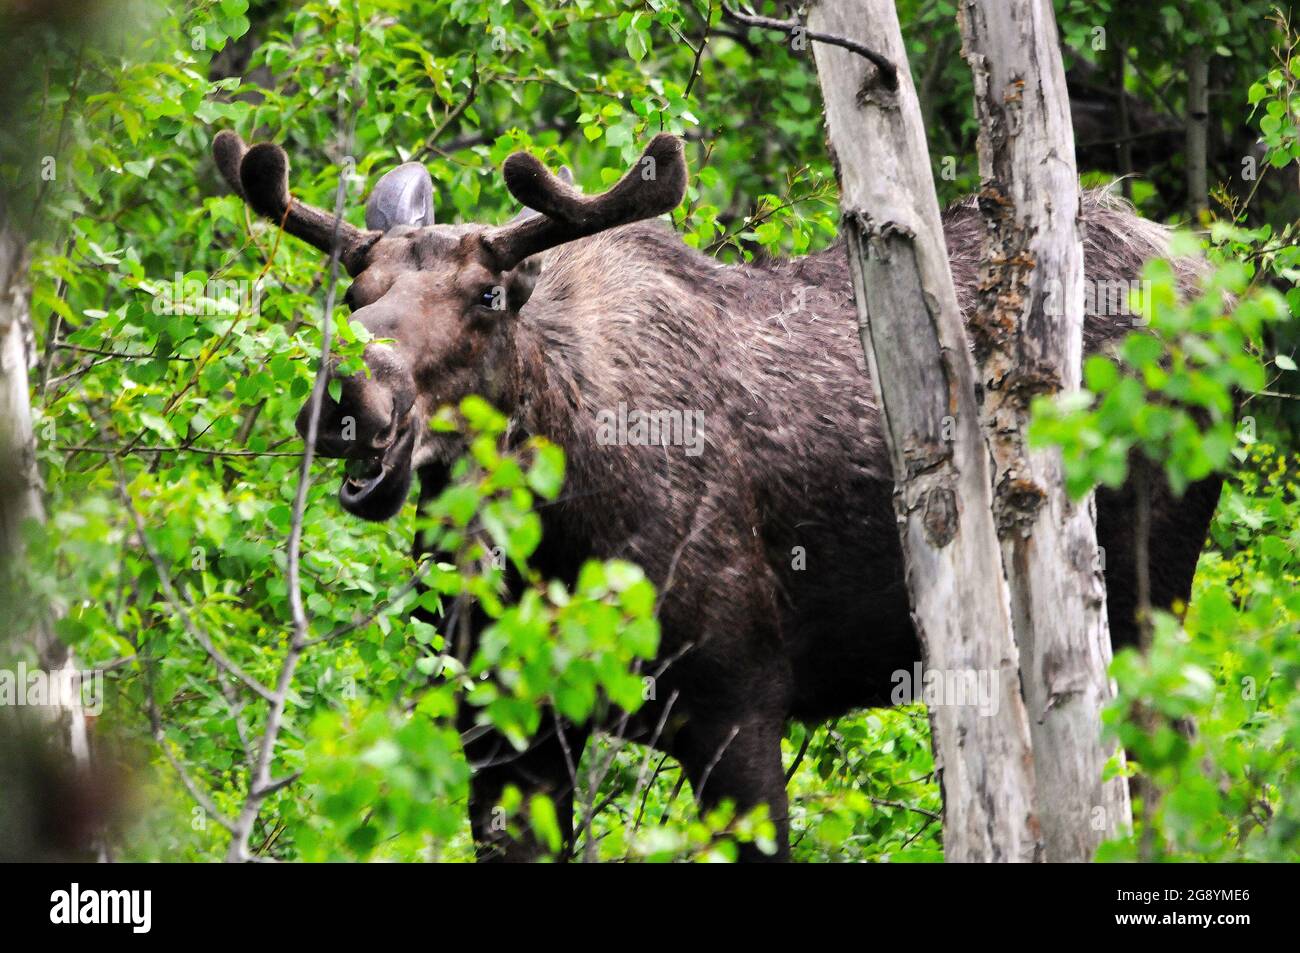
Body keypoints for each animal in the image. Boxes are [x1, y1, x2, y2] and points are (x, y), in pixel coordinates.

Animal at [208, 128, 1211, 863]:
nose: (349, 395)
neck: (557, 543)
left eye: (488, 295)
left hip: (1147, 601)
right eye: (356, 293)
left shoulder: (741, 709)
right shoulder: (503, 736)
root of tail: (1209, 277)